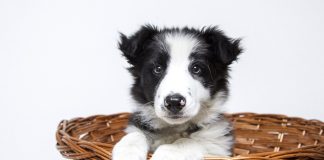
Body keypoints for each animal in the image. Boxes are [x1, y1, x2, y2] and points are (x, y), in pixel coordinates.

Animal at [112, 25, 242, 160]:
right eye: (158, 68)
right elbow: (135, 134)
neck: (175, 128)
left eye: (196, 68)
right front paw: (127, 153)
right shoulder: (138, 124)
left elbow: (188, 141)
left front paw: (166, 153)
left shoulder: (218, 143)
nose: (174, 102)